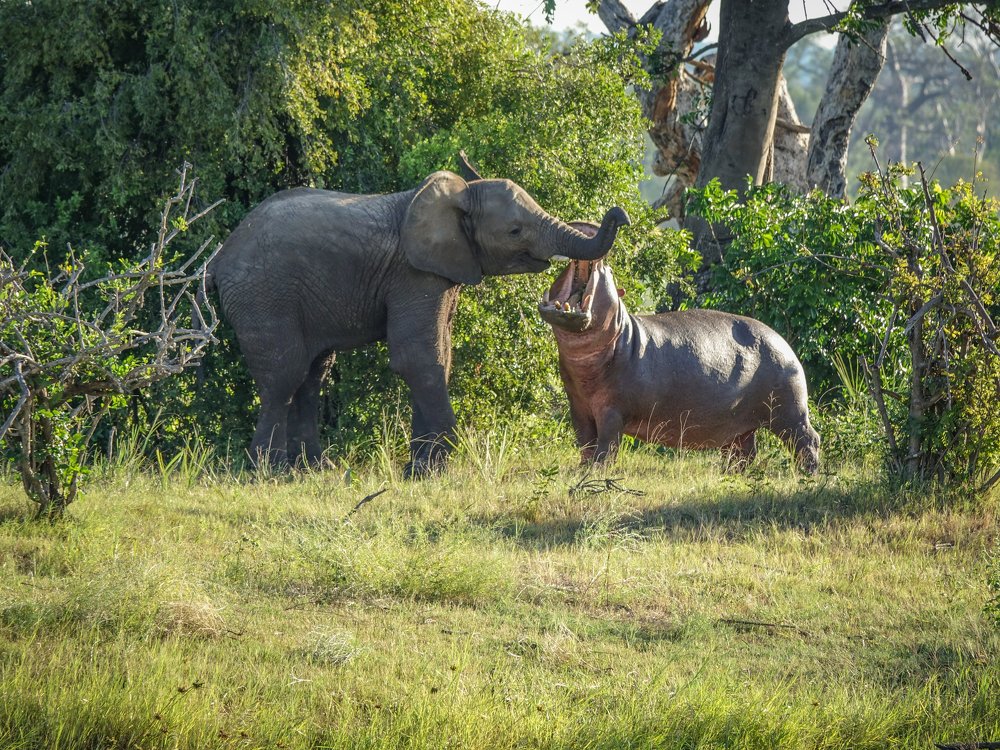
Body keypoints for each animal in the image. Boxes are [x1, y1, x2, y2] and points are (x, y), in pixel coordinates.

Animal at [207, 169, 631, 475]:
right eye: (515, 231)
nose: (620, 214)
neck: (460, 196)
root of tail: (220, 258)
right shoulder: (413, 273)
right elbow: (418, 357)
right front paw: (439, 464)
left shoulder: (442, 273)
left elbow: (440, 354)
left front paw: (423, 467)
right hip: (264, 297)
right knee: (284, 376)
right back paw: (268, 472)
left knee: (313, 375)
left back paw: (313, 468)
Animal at [539, 246, 820, 473]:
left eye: (608, 269)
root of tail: (784, 342)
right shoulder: (579, 407)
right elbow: (585, 441)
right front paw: (582, 469)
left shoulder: (612, 409)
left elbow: (606, 445)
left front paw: (596, 471)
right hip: (740, 424)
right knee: (744, 452)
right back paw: (730, 475)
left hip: (789, 410)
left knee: (807, 439)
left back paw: (807, 474)